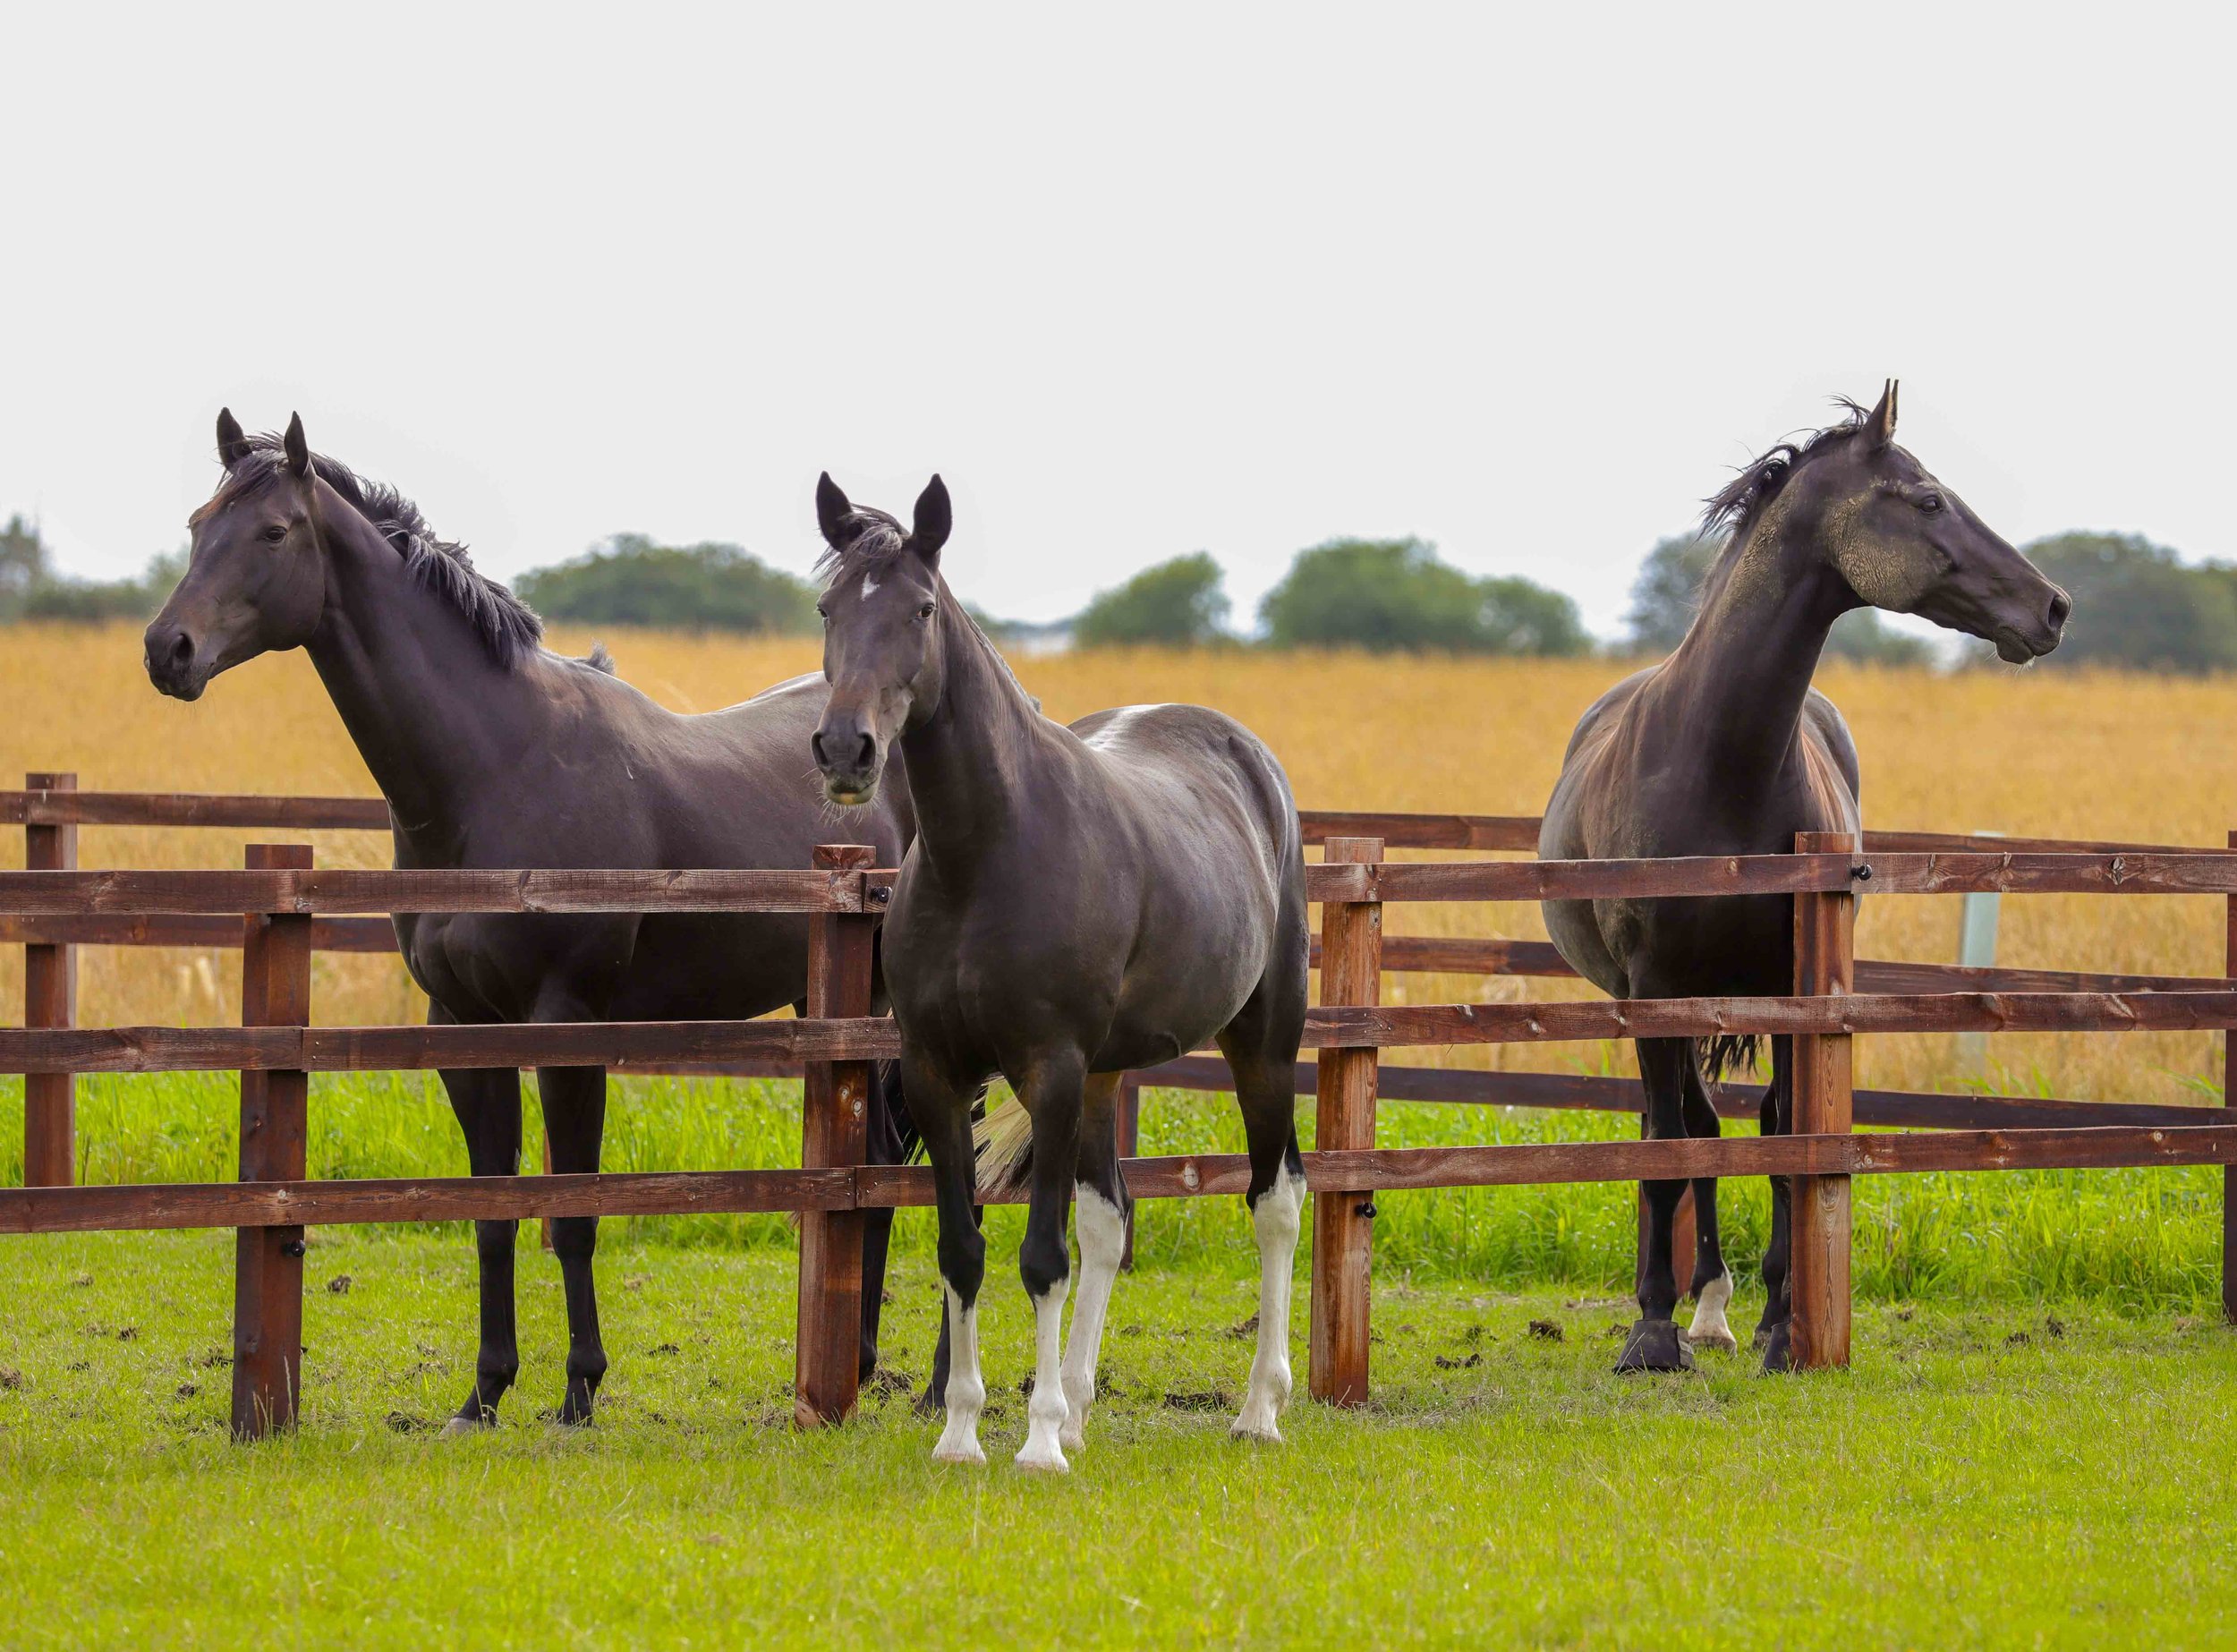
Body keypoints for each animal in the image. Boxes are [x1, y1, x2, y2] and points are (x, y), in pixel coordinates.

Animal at [145, 410, 923, 1431]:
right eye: (200, 523)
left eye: (273, 531)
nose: (168, 650)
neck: (496, 767)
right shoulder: (464, 1030)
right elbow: (492, 1211)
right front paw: (483, 1390)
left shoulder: (568, 1025)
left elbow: (573, 1209)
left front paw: (581, 1386)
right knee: (873, 1164)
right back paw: (860, 1363)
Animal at [808, 472, 1310, 1471]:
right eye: (828, 607)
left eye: (921, 609)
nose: (846, 750)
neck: (985, 853)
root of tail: (1248, 758)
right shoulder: (936, 1073)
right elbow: (964, 1248)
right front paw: (963, 1431)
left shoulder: (1050, 1068)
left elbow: (1040, 1257)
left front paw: (1035, 1445)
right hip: (1108, 1071)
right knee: (1108, 1219)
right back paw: (1077, 1404)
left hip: (1261, 1046)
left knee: (1275, 1201)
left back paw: (1257, 1409)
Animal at [1540, 383, 2069, 1374]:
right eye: (1928, 499)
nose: (2053, 606)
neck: (1716, 761)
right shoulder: (1654, 988)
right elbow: (1668, 1151)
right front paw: (1652, 1333)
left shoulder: (1791, 985)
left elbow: (1788, 1138)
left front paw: (1784, 1328)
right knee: (1685, 1130)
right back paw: (1699, 1305)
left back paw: (1731, 1310)